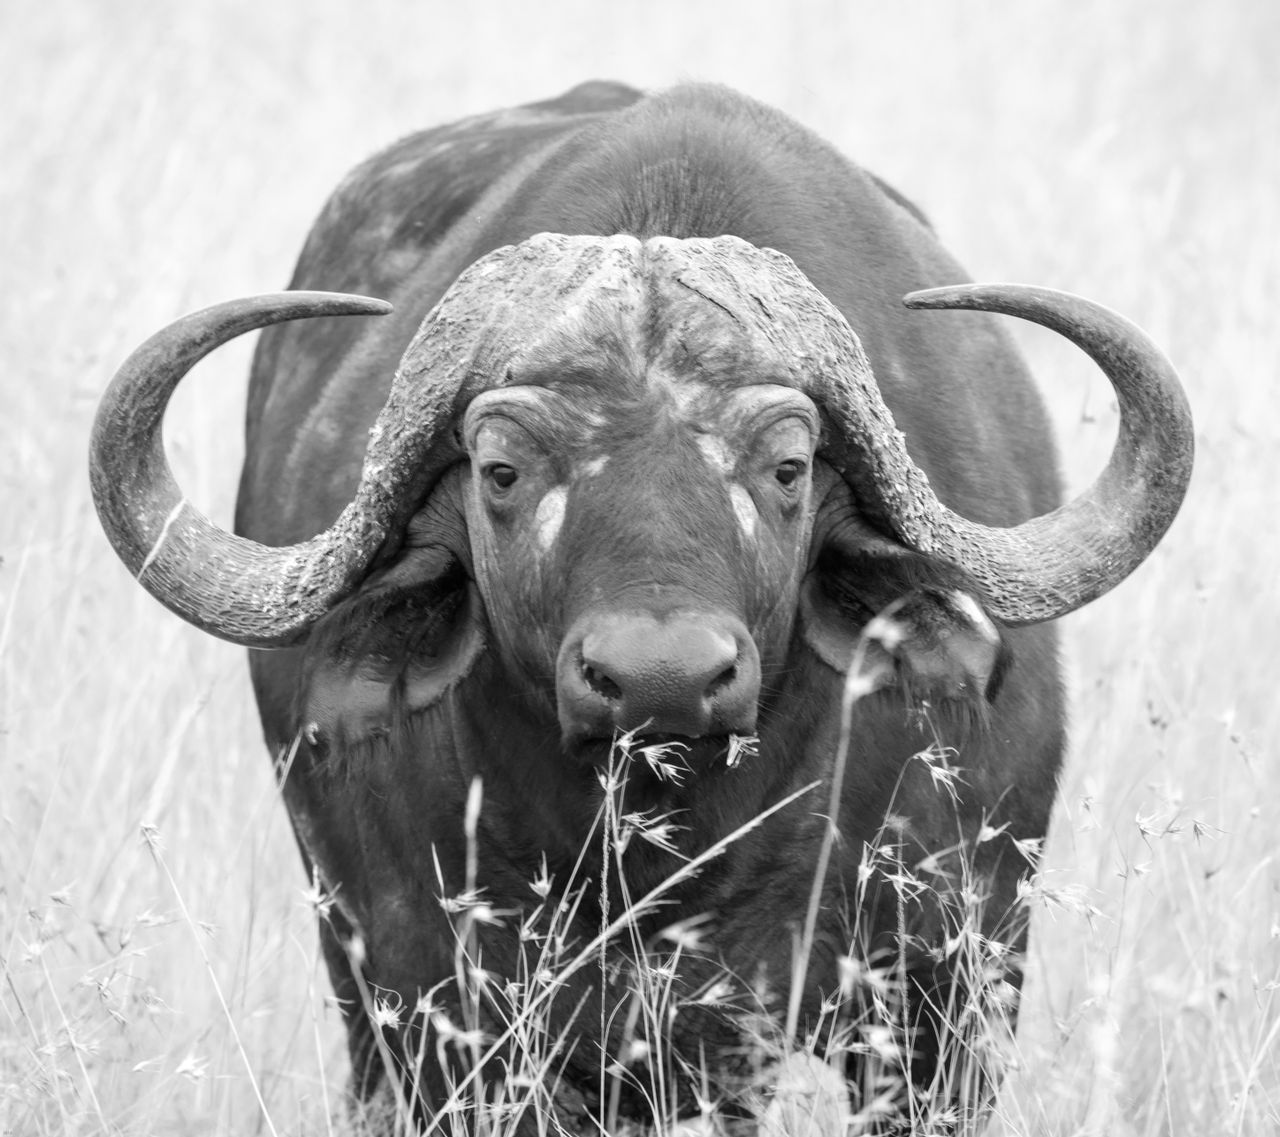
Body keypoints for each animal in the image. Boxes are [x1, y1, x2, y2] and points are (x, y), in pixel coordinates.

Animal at [90, 82, 1192, 1133]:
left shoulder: (941, 1003)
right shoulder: (444, 1005)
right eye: (501, 470)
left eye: (789, 467)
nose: (662, 679)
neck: (679, 843)